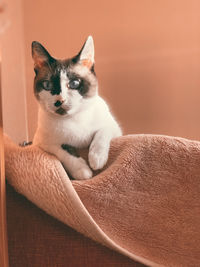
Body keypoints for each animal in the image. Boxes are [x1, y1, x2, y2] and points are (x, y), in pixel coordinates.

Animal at [32, 35, 122, 180]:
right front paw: (83, 171)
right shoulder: (43, 144)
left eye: (74, 83)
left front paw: (96, 159)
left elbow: (102, 133)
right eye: (47, 85)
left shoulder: (115, 129)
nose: (60, 100)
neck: (73, 119)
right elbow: (64, 151)